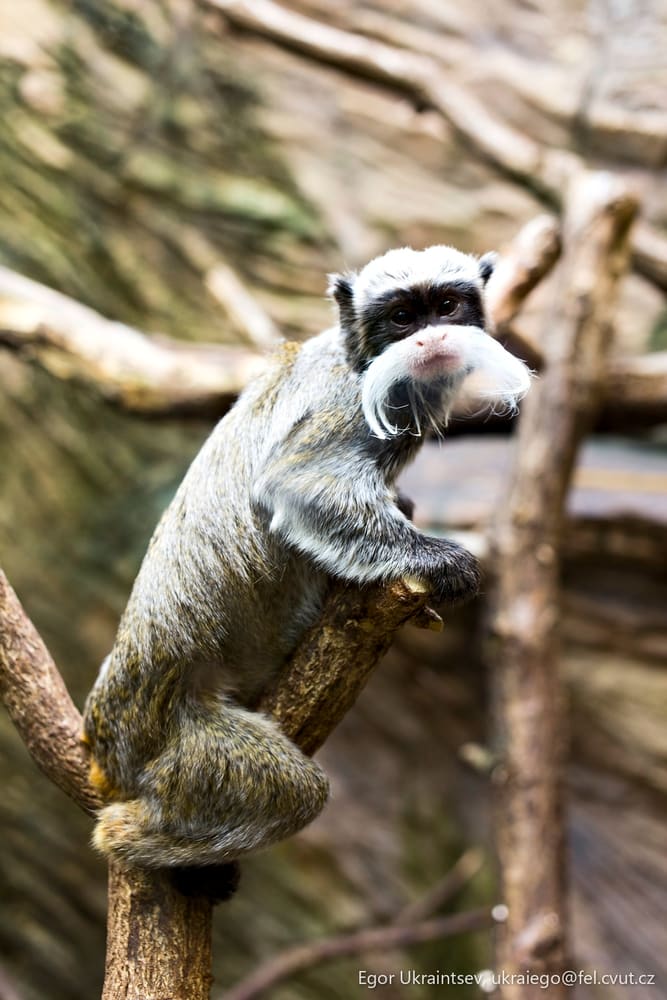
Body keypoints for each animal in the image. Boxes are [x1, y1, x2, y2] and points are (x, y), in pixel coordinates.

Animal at [83, 244, 531, 896]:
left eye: (447, 305)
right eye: (403, 317)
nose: (431, 338)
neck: (359, 359)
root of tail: (110, 723)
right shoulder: (349, 407)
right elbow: (297, 483)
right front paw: (438, 561)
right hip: (178, 747)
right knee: (295, 793)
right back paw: (136, 839)